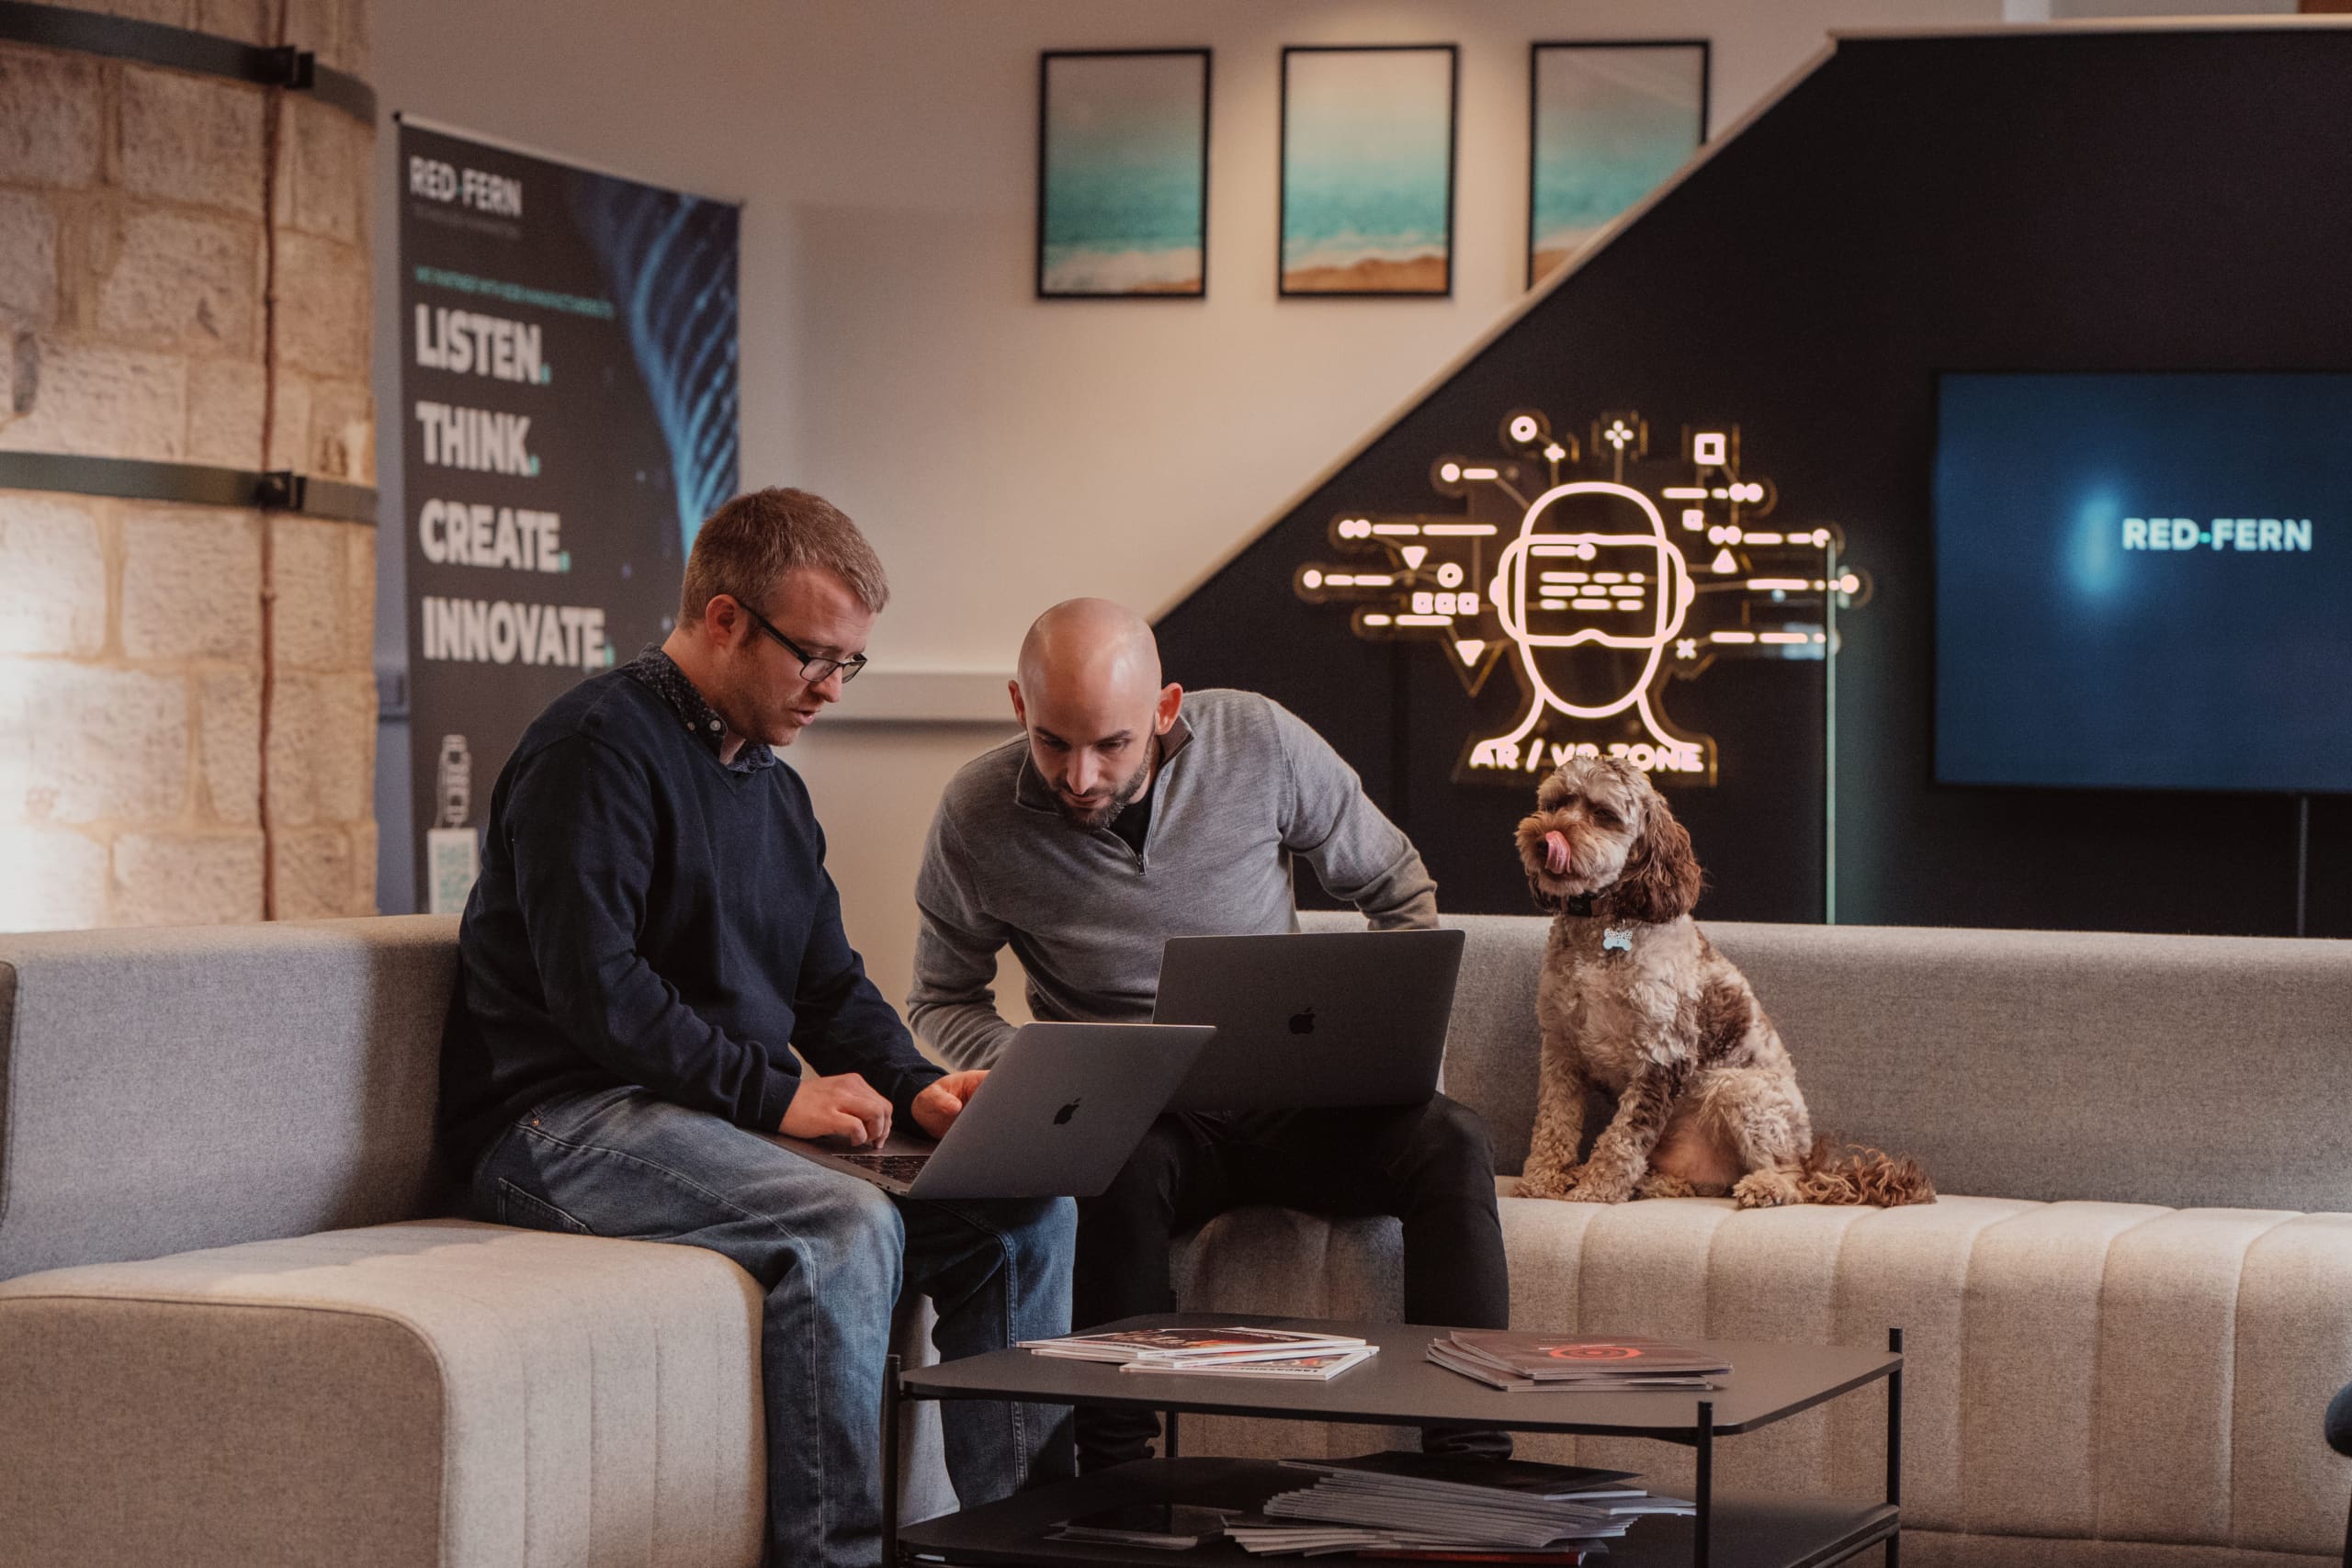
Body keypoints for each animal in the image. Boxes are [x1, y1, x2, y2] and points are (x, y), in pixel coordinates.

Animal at [1505, 751, 1928, 1213]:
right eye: (1555, 803)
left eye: (1603, 814)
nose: (1543, 840)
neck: (1605, 923)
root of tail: (1815, 1157)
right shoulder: (1561, 1046)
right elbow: (1554, 1121)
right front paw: (1544, 1180)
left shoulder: (1663, 1053)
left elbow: (1624, 1137)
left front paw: (1596, 1190)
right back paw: (1656, 1184)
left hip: (1739, 1089)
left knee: (1794, 1178)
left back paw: (1766, 1186)